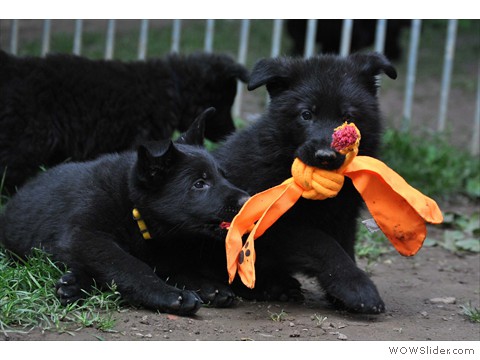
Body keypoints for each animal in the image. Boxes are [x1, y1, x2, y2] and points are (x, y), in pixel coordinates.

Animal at [0, 107, 251, 316]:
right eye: (200, 184)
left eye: (223, 176)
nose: (246, 200)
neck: (133, 209)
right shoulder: (86, 236)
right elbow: (130, 265)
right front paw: (170, 294)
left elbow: (173, 268)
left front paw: (208, 286)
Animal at [215, 52, 398, 314]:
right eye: (306, 115)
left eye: (348, 118)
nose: (325, 156)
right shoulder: (278, 224)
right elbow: (324, 245)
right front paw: (357, 288)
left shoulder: (344, 217)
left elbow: (344, 247)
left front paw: (341, 295)